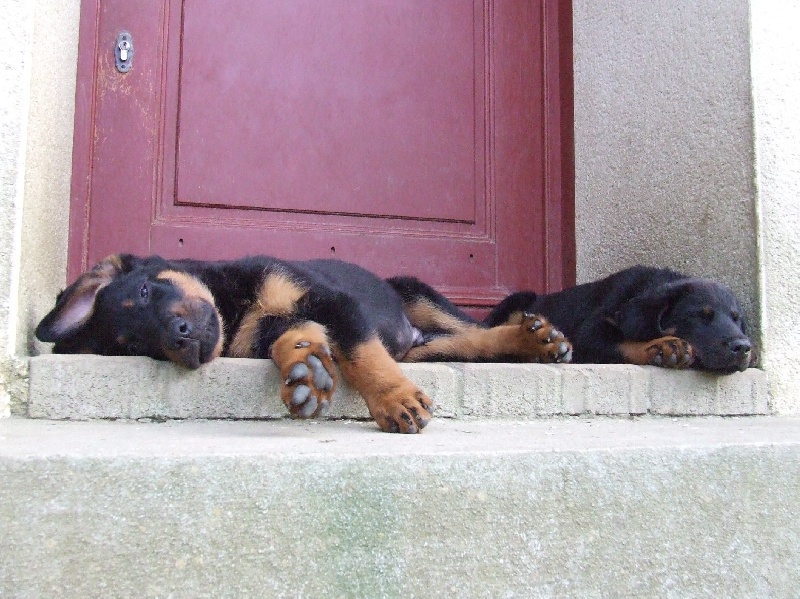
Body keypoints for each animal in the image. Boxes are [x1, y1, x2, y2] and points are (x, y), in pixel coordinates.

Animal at [37, 255, 572, 434]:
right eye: (135, 345)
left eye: (148, 291)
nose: (177, 338)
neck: (235, 314)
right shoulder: (282, 327)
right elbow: (294, 340)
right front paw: (307, 374)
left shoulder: (332, 301)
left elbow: (360, 352)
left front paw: (393, 400)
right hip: (426, 349)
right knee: (465, 345)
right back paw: (530, 343)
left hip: (419, 296)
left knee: (474, 330)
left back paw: (535, 337)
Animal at [484, 266, 752, 372]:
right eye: (700, 316)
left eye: (736, 319)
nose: (743, 347)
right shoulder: (589, 333)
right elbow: (622, 344)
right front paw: (666, 347)